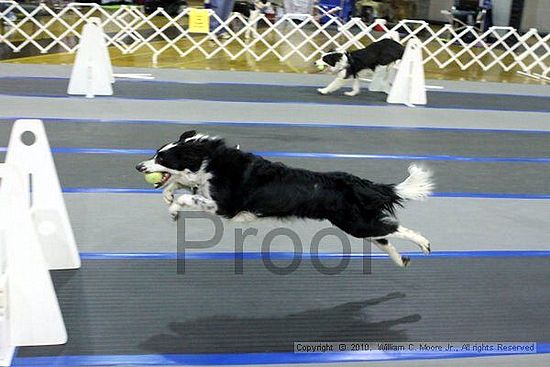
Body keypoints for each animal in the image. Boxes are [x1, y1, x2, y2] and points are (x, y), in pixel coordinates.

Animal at [137, 132, 436, 268]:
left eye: (162, 158)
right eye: (155, 153)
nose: (139, 166)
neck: (211, 159)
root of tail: (355, 181)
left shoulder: (223, 206)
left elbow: (188, 197)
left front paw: (174, 209)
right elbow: (179, 185)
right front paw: (168, 194)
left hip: (355, 223)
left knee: (395, 228)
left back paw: (425, 244)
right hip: (358, 222)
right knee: (385, 236)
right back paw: (402, 260)